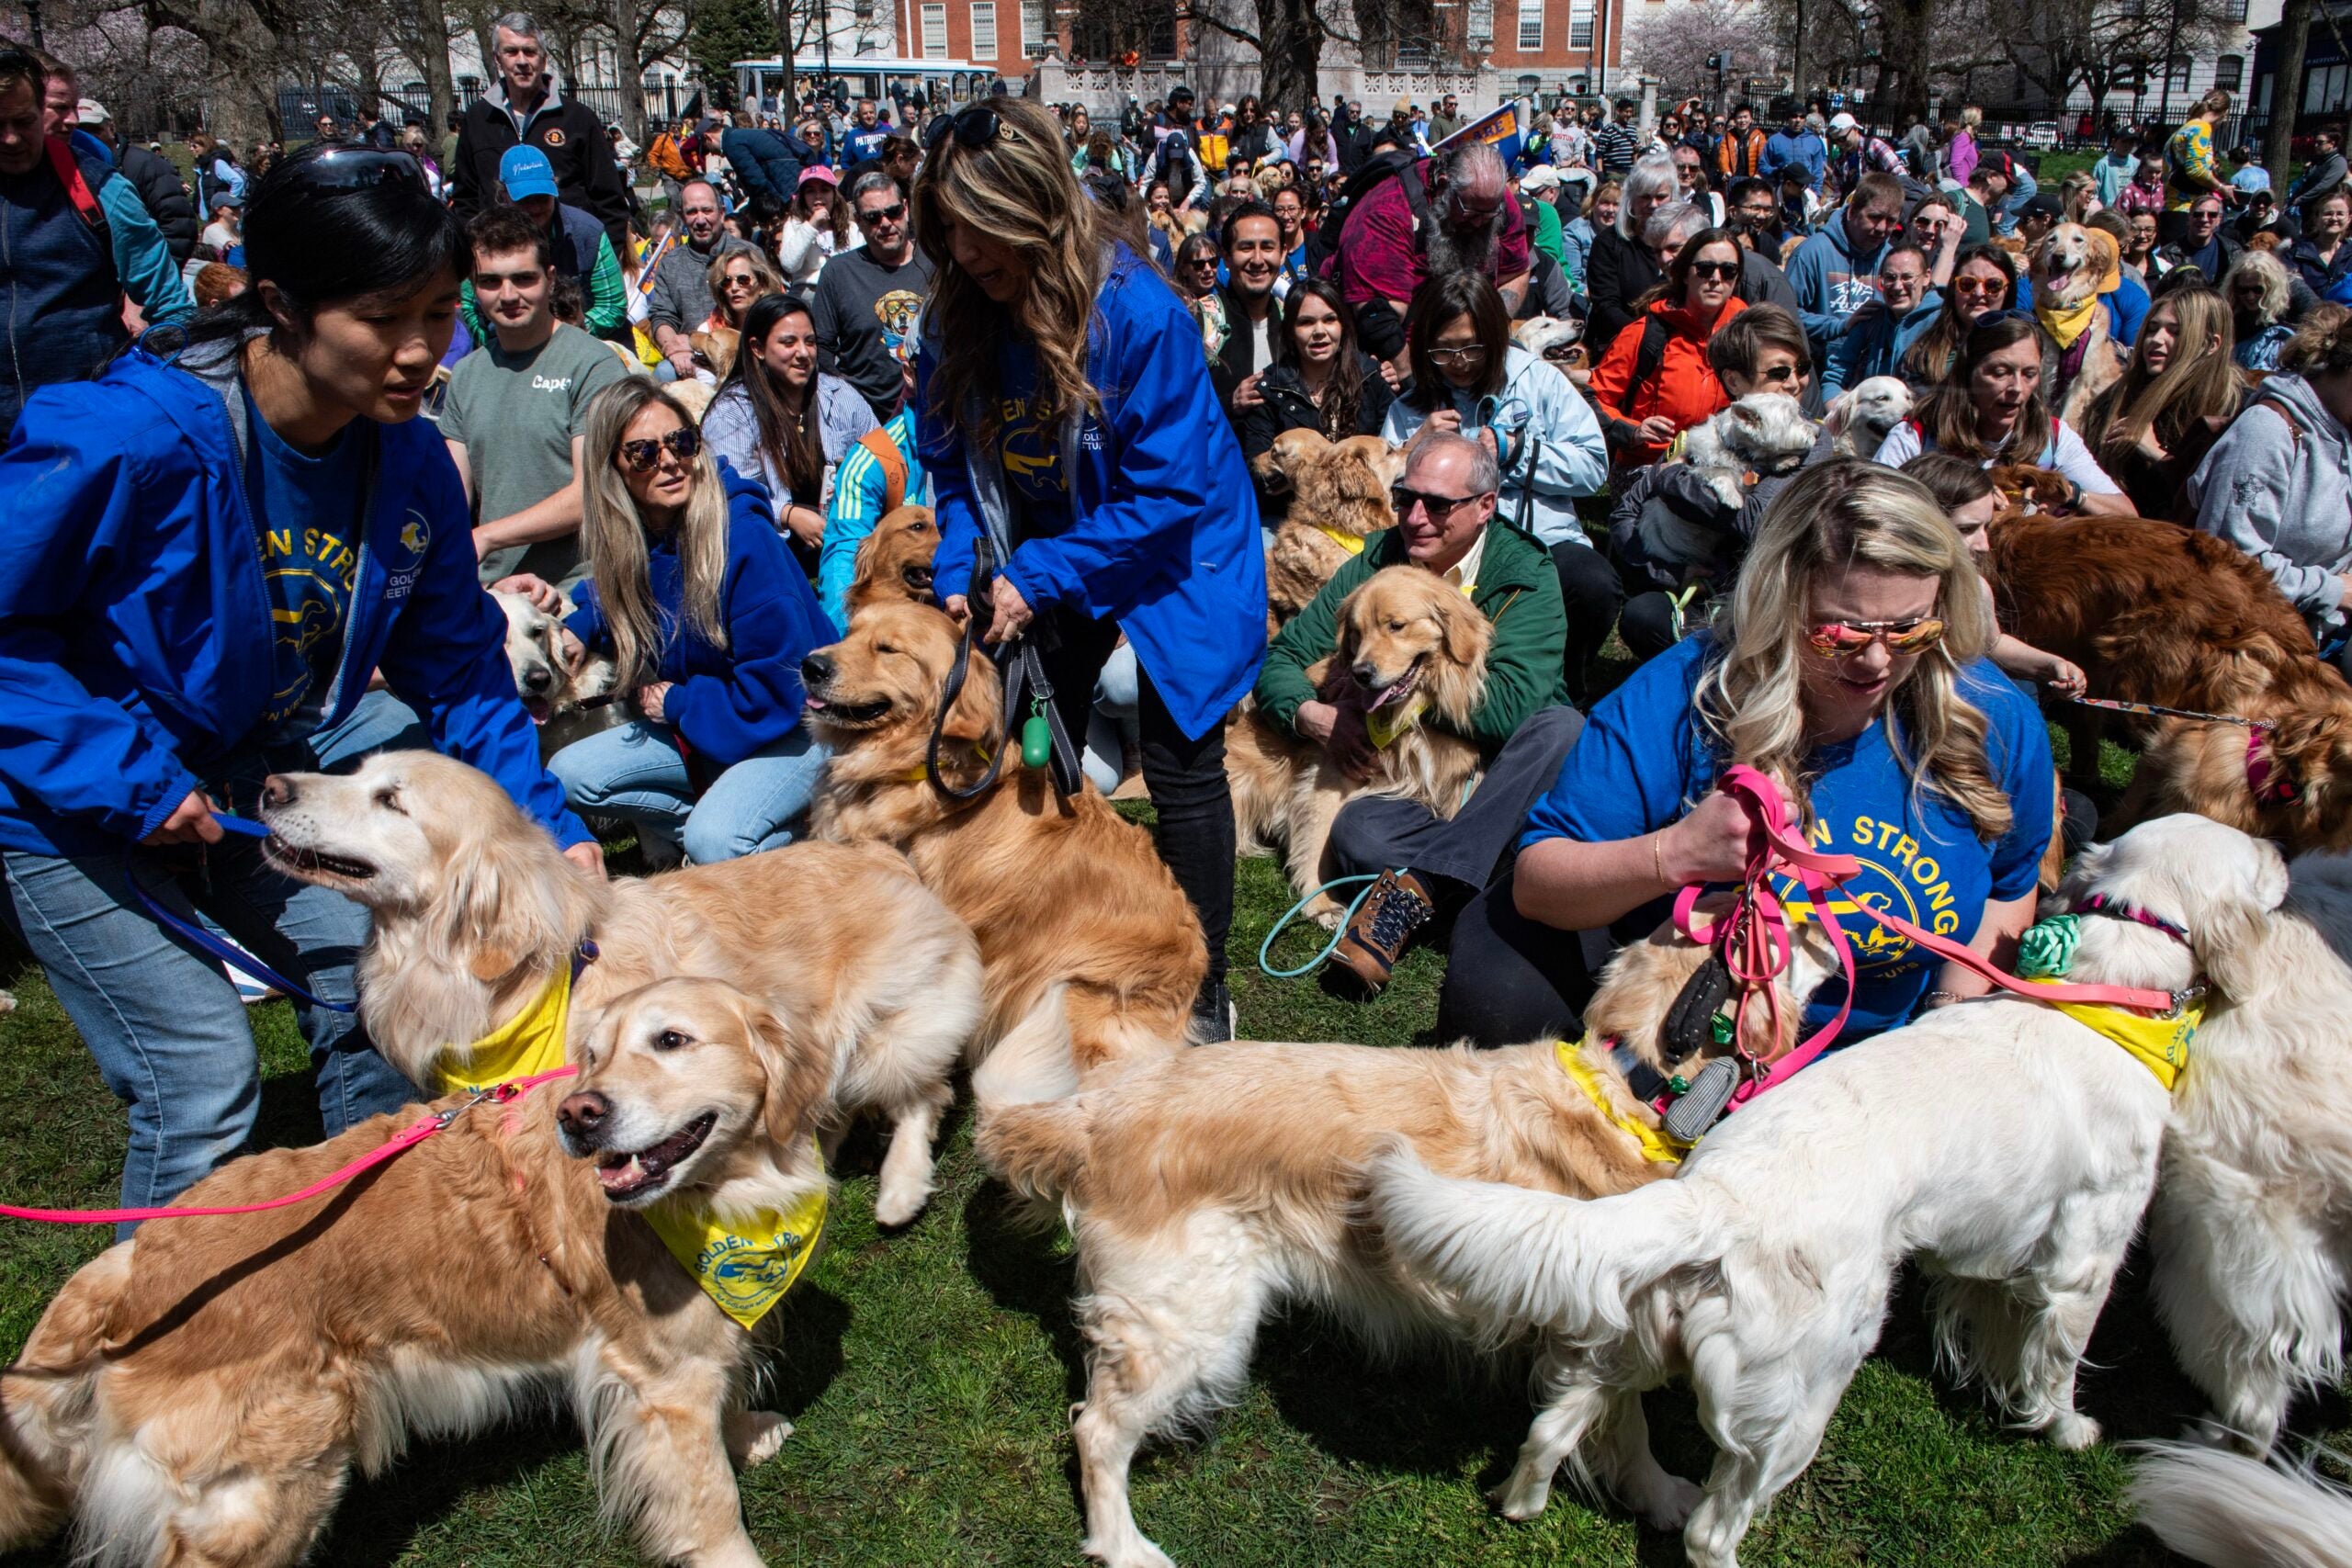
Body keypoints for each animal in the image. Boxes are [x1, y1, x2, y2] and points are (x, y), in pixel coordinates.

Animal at [1374, 818, 2286, 1568]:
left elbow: (1992, 1329)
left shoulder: (1995, 1257)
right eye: (2256, 853)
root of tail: (1712, 1198)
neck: (2101, 1005)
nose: (2287, 851)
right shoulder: (2083, 1261)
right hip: (1801, 1396)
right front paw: (2068, 1430)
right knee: (1712, 1529)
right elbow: (2056, 1368)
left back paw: (1522, 1501)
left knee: (1554, 1429)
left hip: (1630, 1345)